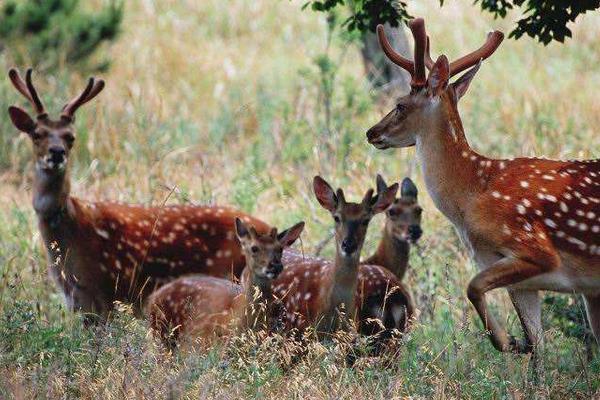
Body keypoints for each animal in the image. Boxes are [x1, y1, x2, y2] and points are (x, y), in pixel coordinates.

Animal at [366, 18, 600, 354]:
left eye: (400, 105)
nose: (371, 132)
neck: (472, 194)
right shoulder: (522, 282)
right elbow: (538, 348)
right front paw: (518, 344)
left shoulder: (536, 251)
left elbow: (472, 285)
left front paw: (505, 340)